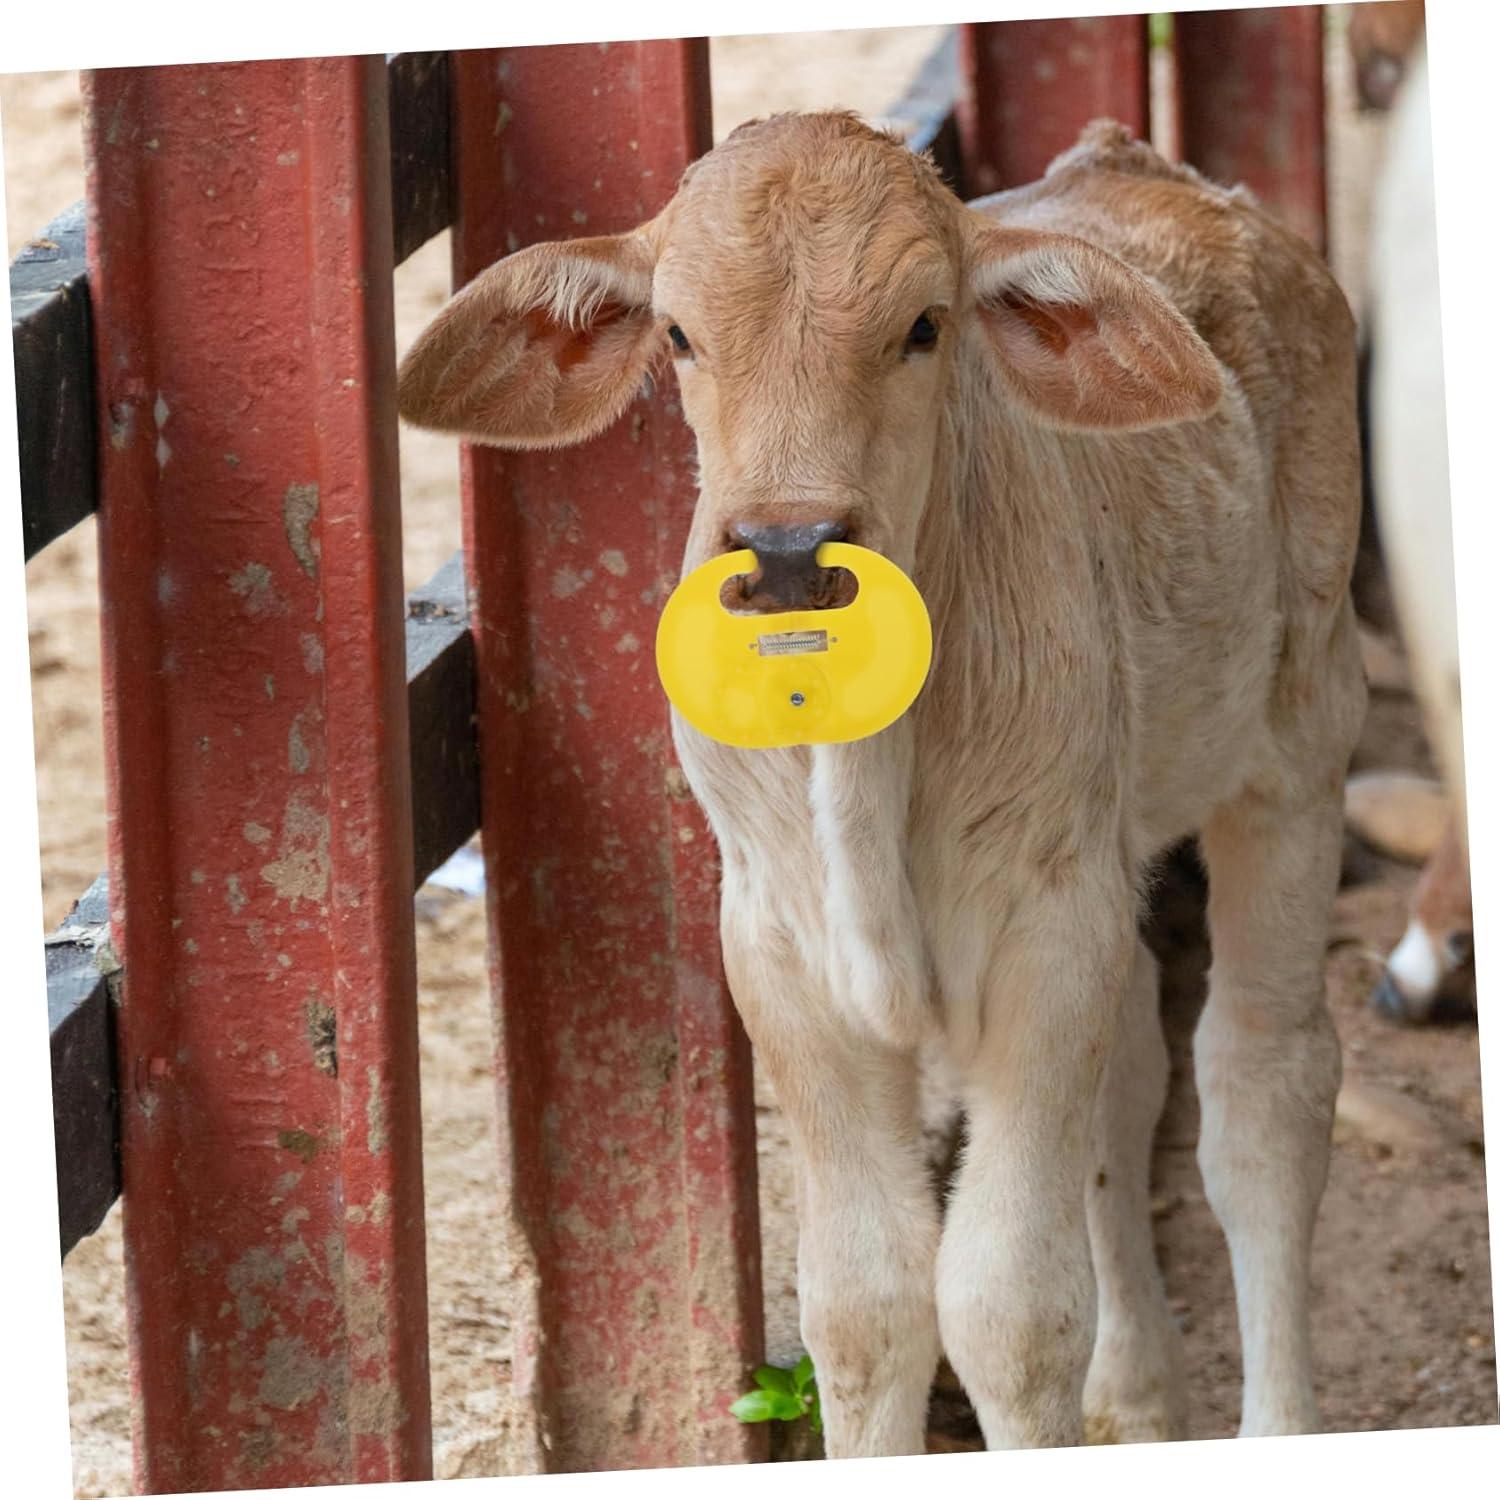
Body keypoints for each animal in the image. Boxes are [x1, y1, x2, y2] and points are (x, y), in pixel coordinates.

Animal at [397, 113, 1366, 1454]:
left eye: (923, 325)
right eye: (680, 334)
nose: (790, 552)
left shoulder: (1046, 923)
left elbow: (1011, 1309)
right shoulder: (778, 948)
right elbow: (865, 1306)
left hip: (1300, 736)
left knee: (1264, 1088)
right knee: (1130, 1076)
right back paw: (1137, 1400)